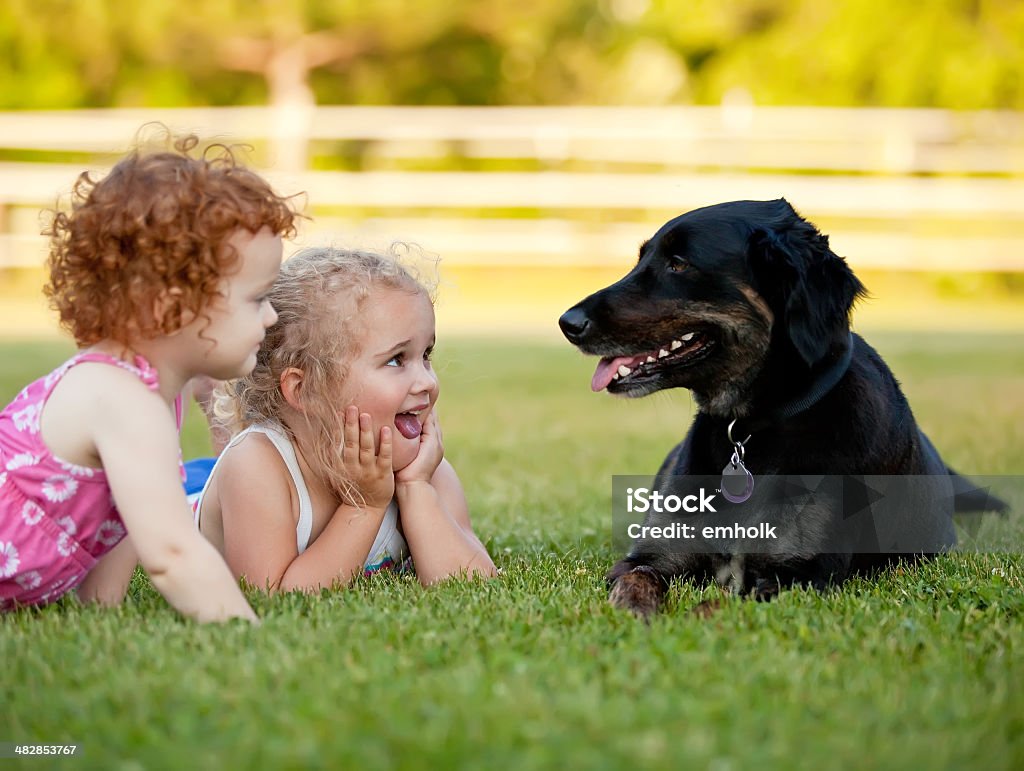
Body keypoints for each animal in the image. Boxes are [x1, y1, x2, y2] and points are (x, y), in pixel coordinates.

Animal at [561, 199, 999, 618]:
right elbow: (636, 579)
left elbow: (721, 602)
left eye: (679, 263)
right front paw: (632, 614)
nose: (568, 323)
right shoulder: (654, 554)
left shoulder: (796, 575)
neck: (752, 426)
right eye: (641, 259)